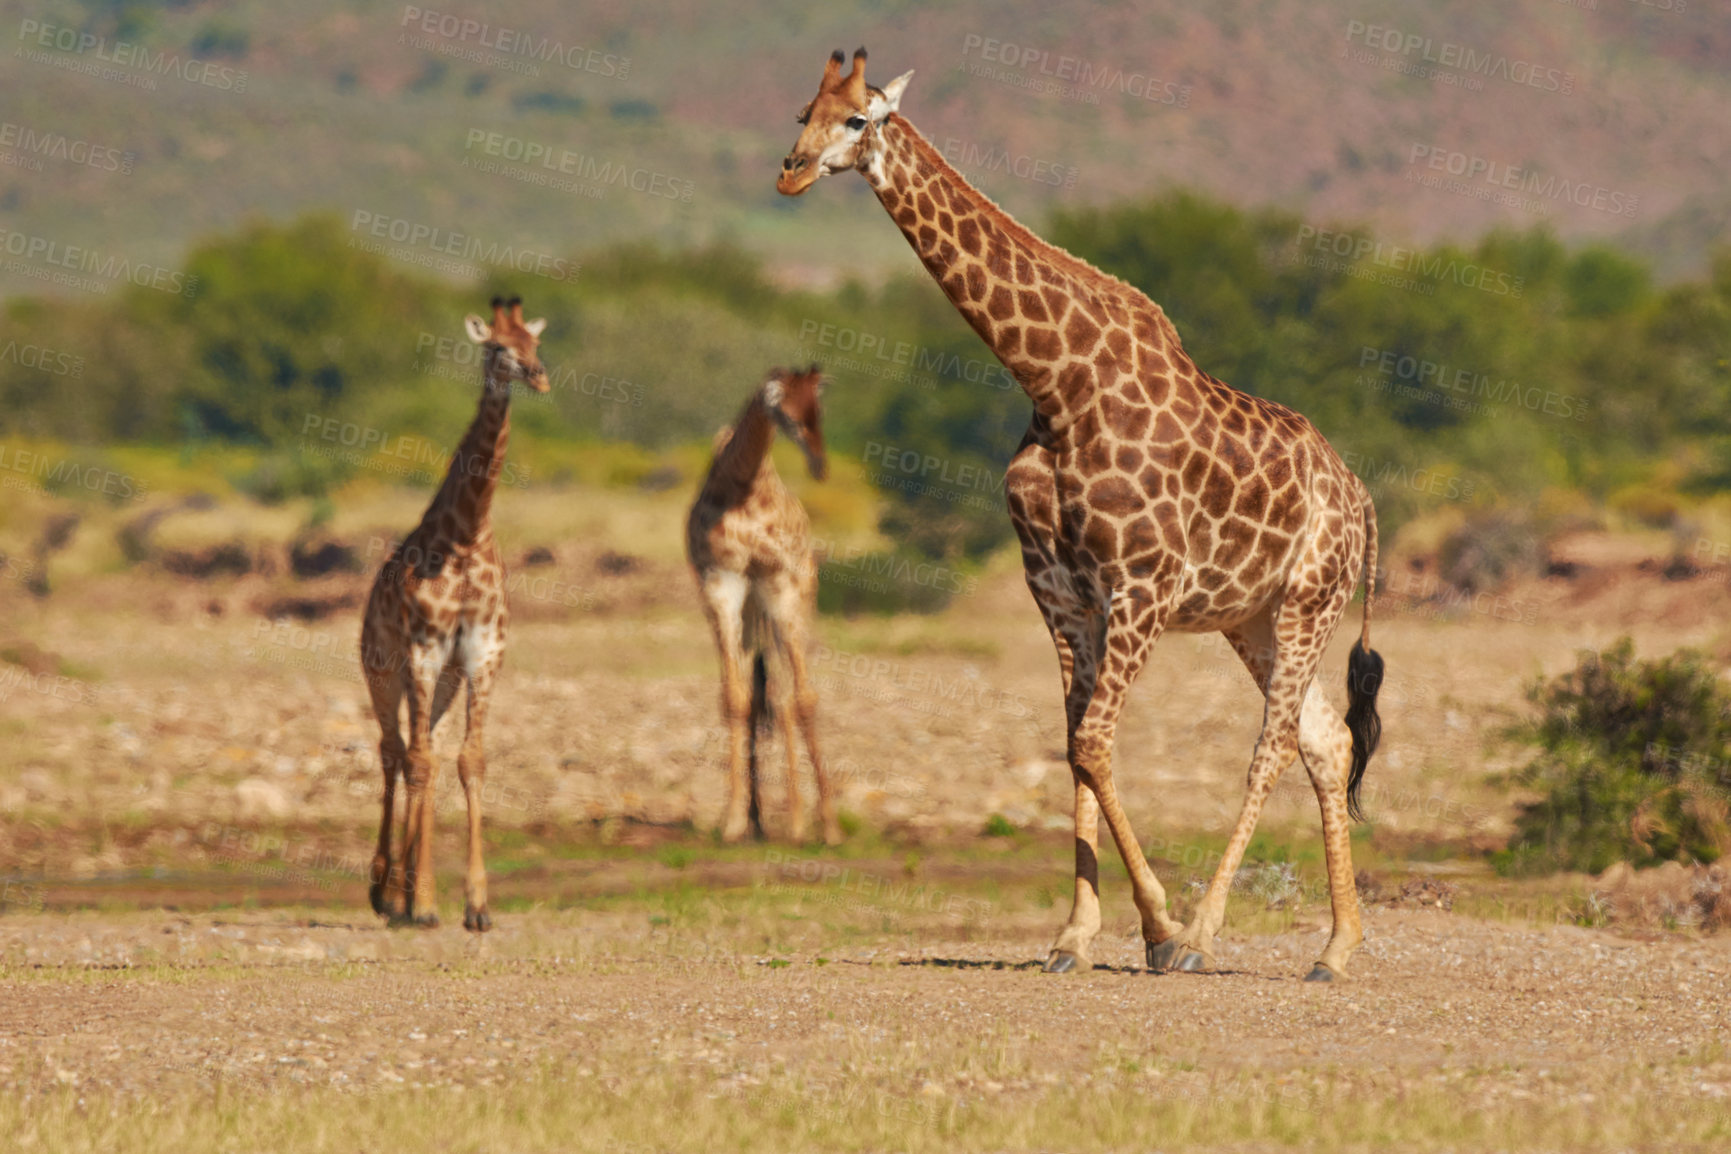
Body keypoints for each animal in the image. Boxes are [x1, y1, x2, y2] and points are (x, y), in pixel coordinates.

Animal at [361, 295, 550, 927]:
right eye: (496, 346)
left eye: (535, 342)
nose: (537, 375)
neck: (467, 537)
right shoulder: (423, 651)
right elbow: (419, 761)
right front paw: (419, 902)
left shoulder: (482, 655)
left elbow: (470, 761)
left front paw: (476, 905)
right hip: (383, 670)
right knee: (396, 752)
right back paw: (386, 891)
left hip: (442, 680)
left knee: (428, 751)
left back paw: (406, 892)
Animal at [688, 365, 844, 844]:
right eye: (785, 415)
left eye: (819, 409)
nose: (820, 465)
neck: (743, 485)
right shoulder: (721, 581)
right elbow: (736, 699)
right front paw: (733, 820)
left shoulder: (780, 581)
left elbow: (805, 698)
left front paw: (829, 825)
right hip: (752, 610)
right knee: (765, 693)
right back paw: (763, 818)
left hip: (794, 596)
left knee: (784, 693)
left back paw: (797, 821)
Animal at [778, 49, 1384, 982]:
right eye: (802, 110)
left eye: (858, 119)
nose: (792, 171)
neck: (1056, 386)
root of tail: (1361, 498)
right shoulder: (1062, 593)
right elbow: (1074, 747)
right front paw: (1073, 937)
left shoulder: (1140, 587)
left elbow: (1094, 742)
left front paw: (1160, 930)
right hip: (1248, 616)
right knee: (1327, 741)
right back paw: (1336, 946)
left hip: (1307, 599)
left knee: (1274, 744)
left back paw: (1205, 937)